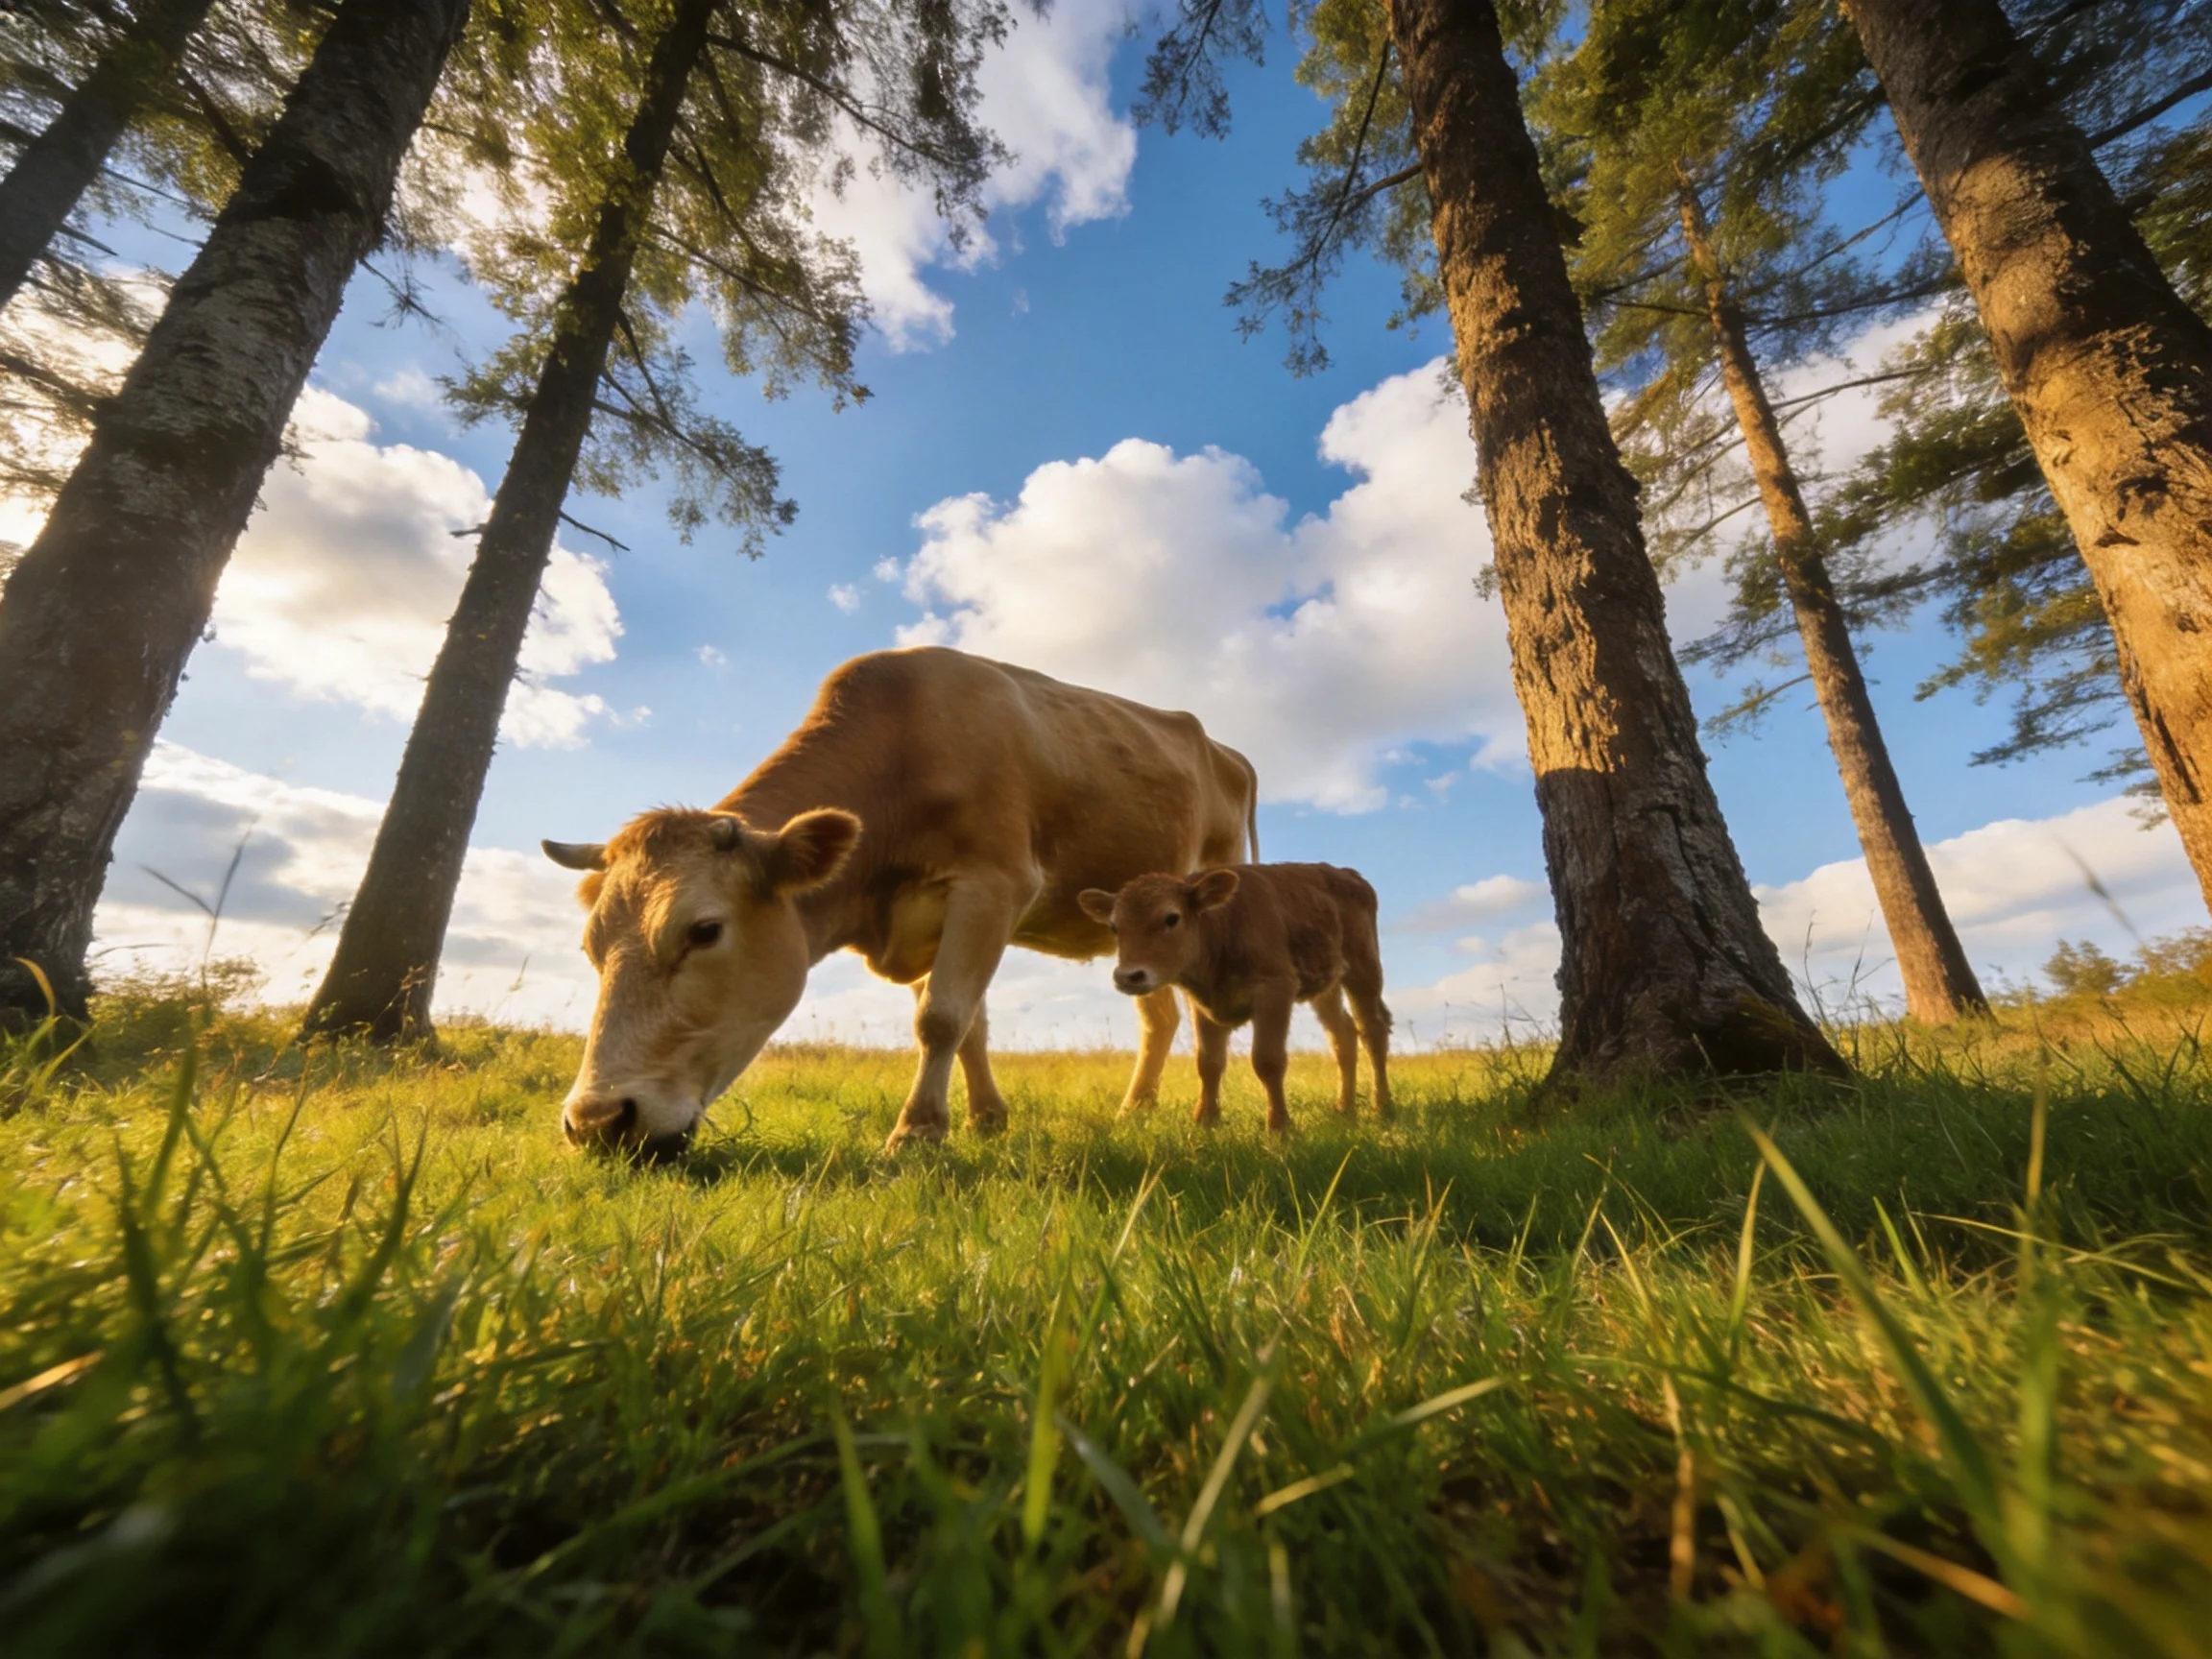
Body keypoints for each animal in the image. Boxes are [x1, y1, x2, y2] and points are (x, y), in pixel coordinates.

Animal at [541, 647, 1258, 1156]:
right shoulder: (923, 925)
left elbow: (940, 1017)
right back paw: (1136, 1109)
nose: (595, 1122)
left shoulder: (994, 885)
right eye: (590, 948)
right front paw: (984, 1119)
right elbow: (966, 1024)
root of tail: (1224, 747)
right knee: (1157, 1016)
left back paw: (1201, 1118)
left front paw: (917, 1133)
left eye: (704, 931)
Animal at [1078, 863, 1391, 1135]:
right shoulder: (1203, 1005)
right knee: (1343, 1035)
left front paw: (1279, 1129)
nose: (1128, 976)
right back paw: (1345, 1111)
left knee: (1373, 1029)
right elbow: (1209, 1063)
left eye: (1171, 917)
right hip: (1327, 987)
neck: (1222, 924)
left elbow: (1268, 1061)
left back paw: (1383, 1108)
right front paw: (1205, 1123)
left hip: (1363, 970)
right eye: (1114, 927)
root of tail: (1348, 874)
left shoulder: (1275, 990)